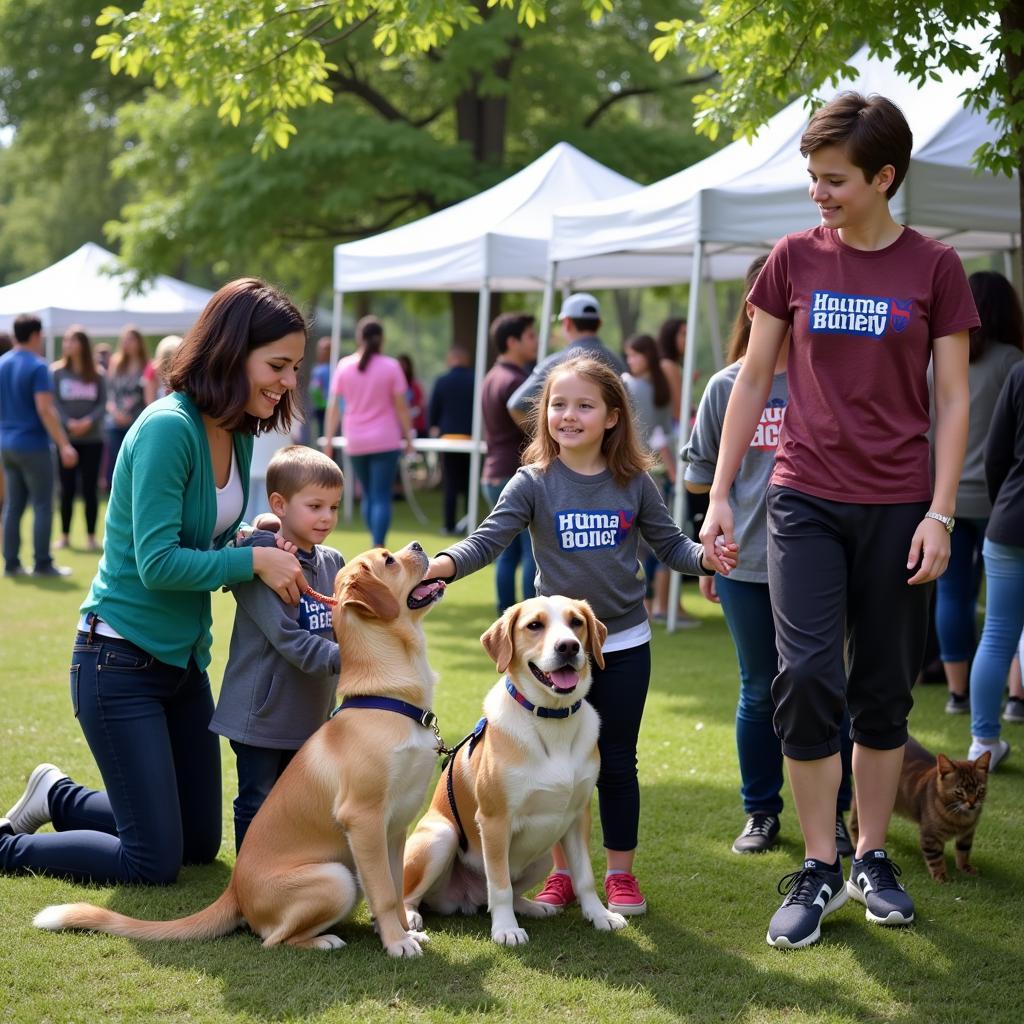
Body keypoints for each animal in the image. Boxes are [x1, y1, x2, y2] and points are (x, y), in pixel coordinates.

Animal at [37, 548, 444, 954]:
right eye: (389, 560)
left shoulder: (395, 827)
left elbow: (395, 884)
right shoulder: (363, 819)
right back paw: (323, 940)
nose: (419, 546)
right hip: (337, 877)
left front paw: (403, 930)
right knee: (273, 939)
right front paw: (397, 942)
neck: (390, 698)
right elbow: (385, 892)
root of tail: (233, 891)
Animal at [399, 598, 622, 942]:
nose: (568, 646)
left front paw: (599, 915)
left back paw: (532, 907)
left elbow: (584, 876)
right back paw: (410, 916)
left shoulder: (577, 817)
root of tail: (467, 900)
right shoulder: (494, 821)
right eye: (534, 626)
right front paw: (505, 929)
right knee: (412, 895)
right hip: (441, 836)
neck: (552, 720)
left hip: (544, 852)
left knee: (512, 892)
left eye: (576, 622)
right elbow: (500, 884)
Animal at [847, 737, 991, 880]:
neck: (960, 817)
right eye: (960, 792)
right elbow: (935, 858)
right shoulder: (930, 836)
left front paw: (965, 868)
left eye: (980, 790)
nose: (972, 803)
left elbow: (964, 852)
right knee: (854, 825)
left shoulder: (967, 834)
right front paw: (941, 876)